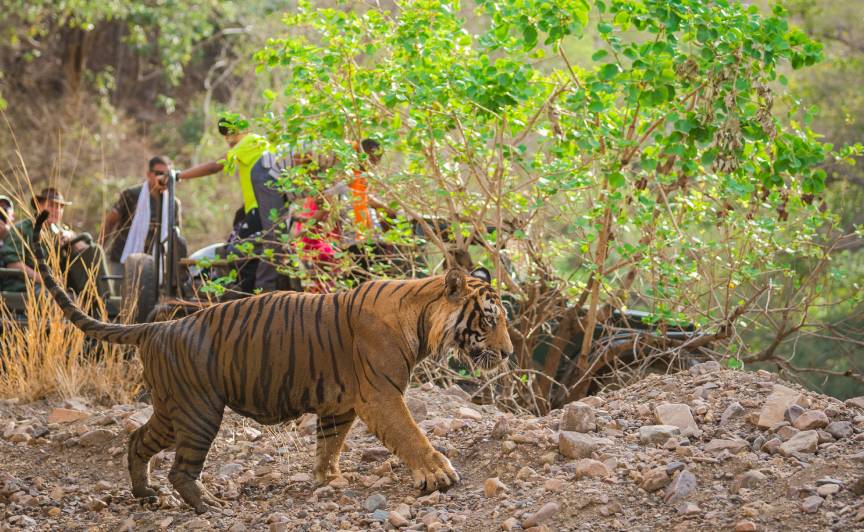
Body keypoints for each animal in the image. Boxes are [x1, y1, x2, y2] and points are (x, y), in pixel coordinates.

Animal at [30, 210, 510, 512]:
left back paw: (145, 493)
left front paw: (329, 478)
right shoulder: (380, 395)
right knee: (182, 470)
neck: (421, 314)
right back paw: (208, 504)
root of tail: (156, 328)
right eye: (489, 319)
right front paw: (438, 474)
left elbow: (329, 443)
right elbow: (411, 435)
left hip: (171, 409)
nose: (507, 353)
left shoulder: (341, 405)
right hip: (200, 411)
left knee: (137, 441)